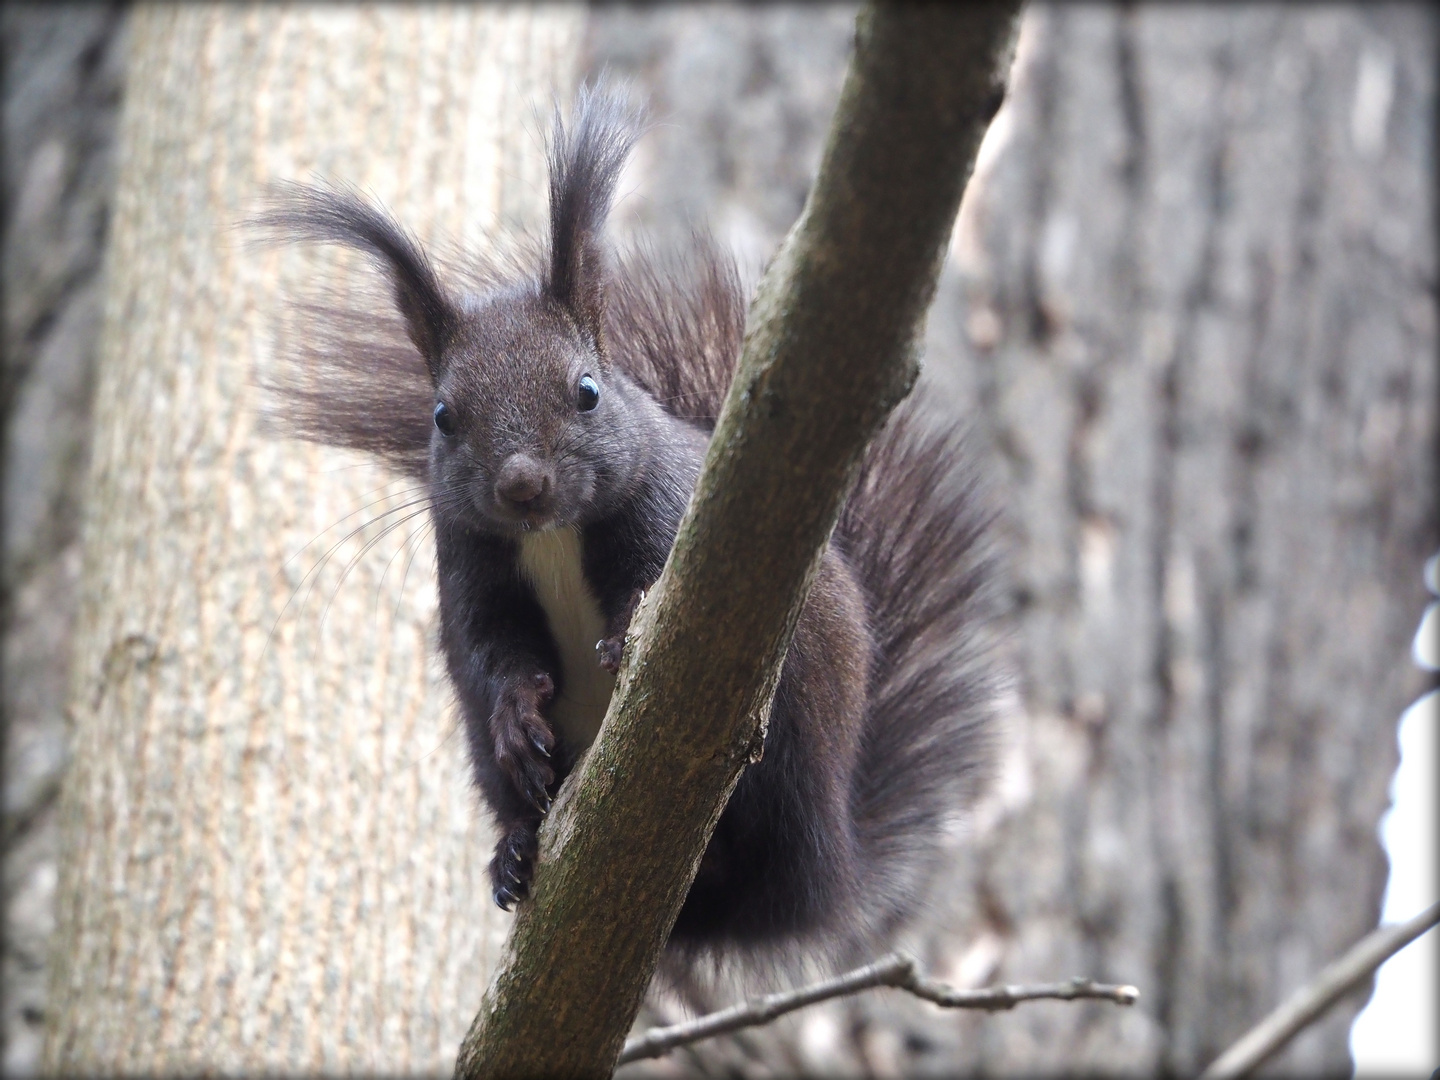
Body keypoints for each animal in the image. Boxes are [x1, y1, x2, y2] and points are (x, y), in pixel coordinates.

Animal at [259, 82, 1002, 956]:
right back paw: (515, 851)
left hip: (798, 720)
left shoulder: (671, 521)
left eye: (587, 390)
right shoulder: (473, 565)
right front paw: (517, 716)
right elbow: (491, 650)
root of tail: (823, 872)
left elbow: (643, 597)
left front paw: (620, 648)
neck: (548, 539)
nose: (522, 483)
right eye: (442, 415)